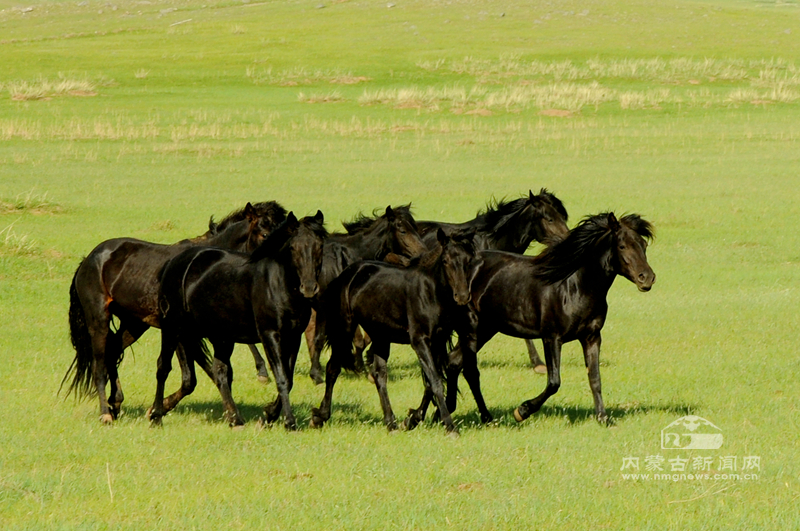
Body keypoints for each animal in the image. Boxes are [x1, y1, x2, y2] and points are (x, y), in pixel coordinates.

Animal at [63, 201, 287, 423]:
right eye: (264, 234)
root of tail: (89, 259)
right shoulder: (182, 332)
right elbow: (191, 379)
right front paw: (156, 410)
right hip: (99, 319)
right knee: (99, 364)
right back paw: (105, 413)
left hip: (135, 324)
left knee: (113, 349)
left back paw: (116, 403)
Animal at [149, 212, 327, 429]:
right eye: (293, 248)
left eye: (319, 246)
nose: (309, 288)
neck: (277, 283)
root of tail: (174, 263)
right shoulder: (270, 334)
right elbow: (282, 378)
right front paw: (289, 422)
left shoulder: (293, 337)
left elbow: (289, 378)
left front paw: (268, 415)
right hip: (172, 328)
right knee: (163, 367)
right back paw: (156, 415)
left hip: (220, 336)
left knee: (219, 371)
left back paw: (235, 418)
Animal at [305, 205, 428, 384]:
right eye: (402, 230)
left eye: (416, 229)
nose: (423, 254)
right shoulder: (324, 305)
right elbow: (320, 337)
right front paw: (316, 375)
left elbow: (364, 338)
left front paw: (362, 367)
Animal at [309, 229, 482, 435]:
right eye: (446, 260)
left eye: (469, 260)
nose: (462, 296)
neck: (430, 292)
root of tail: (347, 274)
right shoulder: (420, 341)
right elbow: (435, 382)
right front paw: (450, 427)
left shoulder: (438, 341)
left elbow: (431, 382)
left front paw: (411, 420)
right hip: (345, 328)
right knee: (333, 368)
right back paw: (319, 417)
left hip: (380, 336)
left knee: (379, 375)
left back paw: (391, 423)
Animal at [406, 213, 655, 429]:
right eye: (622, 246)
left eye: (643, 245)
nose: (647, 278)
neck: (574, 286)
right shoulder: (551, 338)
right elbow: (554, 382)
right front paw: (522, 411)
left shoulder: (592, 337)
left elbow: (595, 378)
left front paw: (603, 418)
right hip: (472, 330)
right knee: (450, 365)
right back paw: (418, 417)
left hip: (485, 330)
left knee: (454, 364)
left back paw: (454, 414)